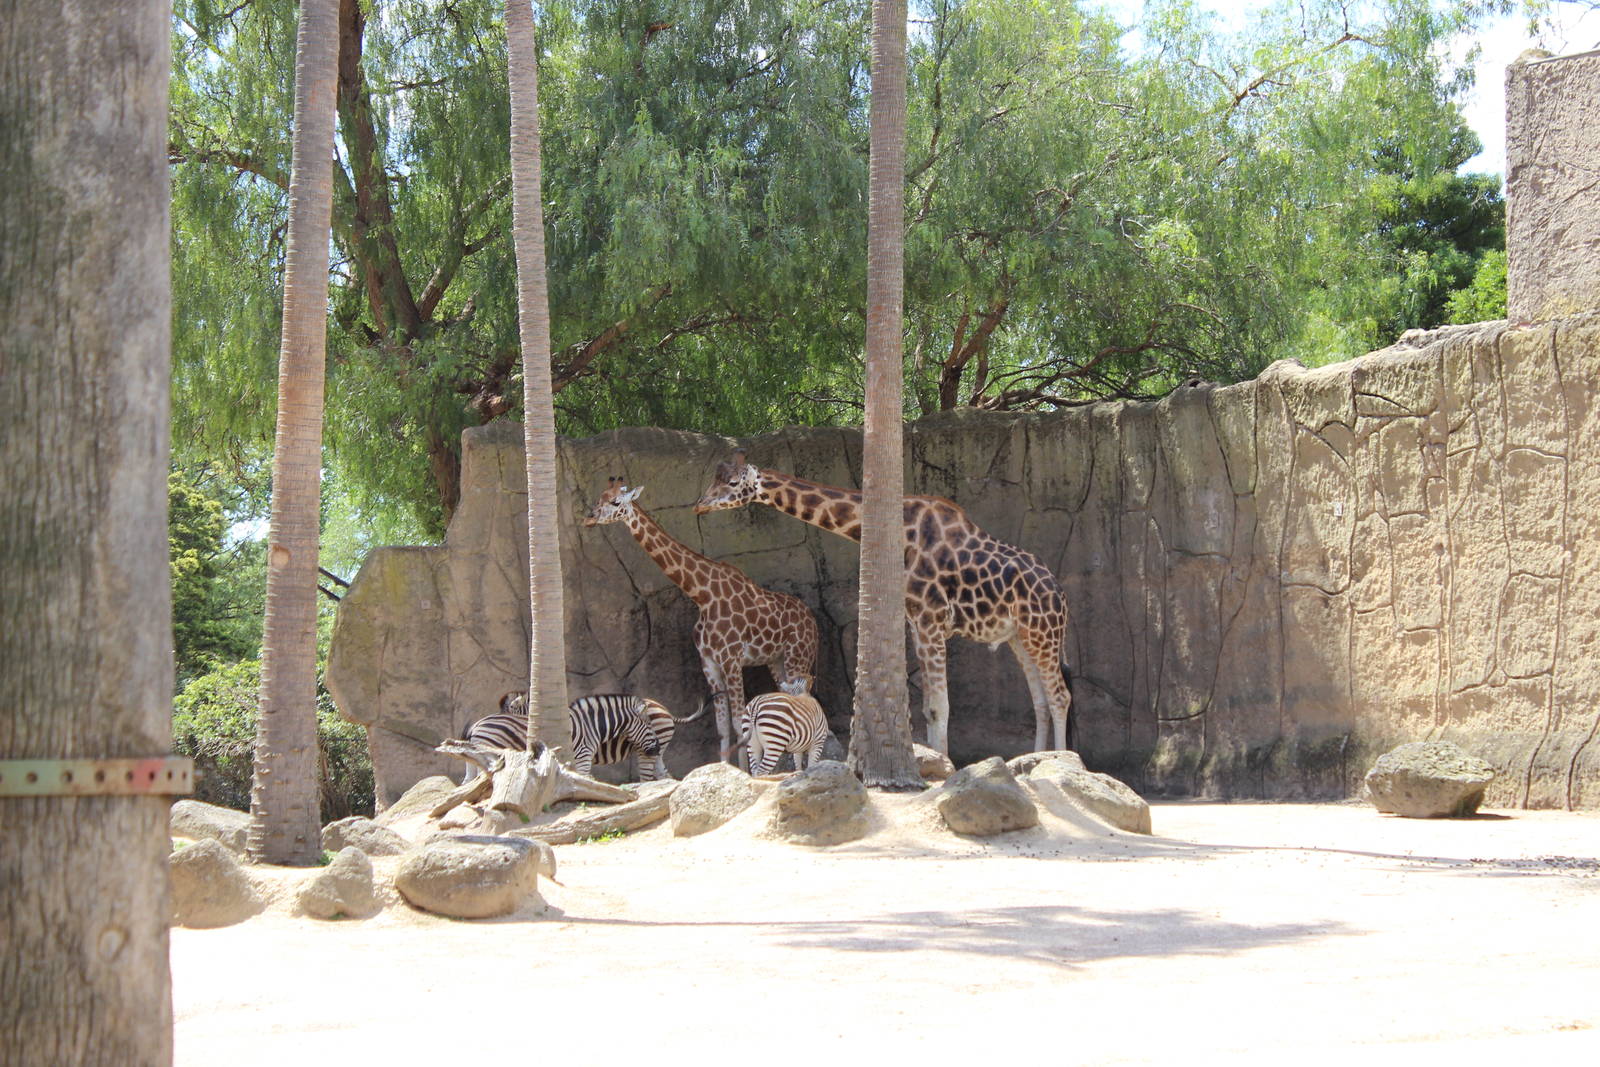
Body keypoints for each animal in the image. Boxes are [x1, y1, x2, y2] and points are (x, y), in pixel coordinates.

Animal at [583, 478, 819, 766]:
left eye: (615, 501)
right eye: (599, 497)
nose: (589, 517)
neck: (702, 595)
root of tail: (813, 621)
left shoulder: (731, 660)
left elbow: (738, 720)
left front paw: (743, 770)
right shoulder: (709, 664)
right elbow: (722, 726)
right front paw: (726, 768)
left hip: (798, 656)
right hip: (777, 661)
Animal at [693, 452, 1072, 756]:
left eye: (731, 482)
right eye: (712, 478)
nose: (698, 504)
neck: (902, 533)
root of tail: (1060, 594)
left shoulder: (931, 620)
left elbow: (940, 706)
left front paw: (946, 768)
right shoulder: (917, 623)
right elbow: (929, 708)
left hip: (1043, 633)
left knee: (1060, 696)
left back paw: (1067, 762)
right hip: (1020, 637)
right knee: (1040, 699)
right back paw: (1041, 759)